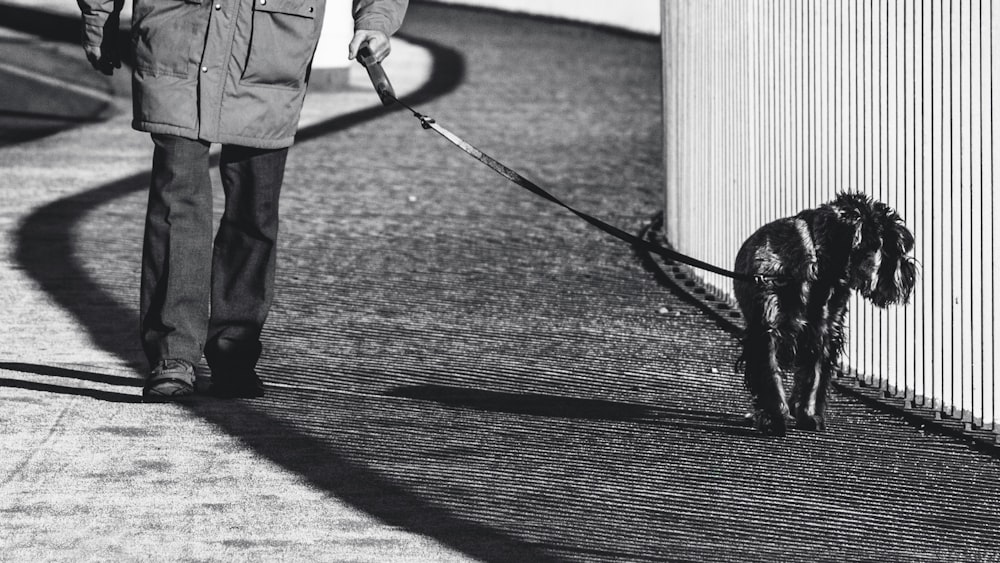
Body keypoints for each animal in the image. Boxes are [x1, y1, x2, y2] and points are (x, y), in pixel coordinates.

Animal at [732, 194, 916, 436]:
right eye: (894, 250)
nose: (910, 276)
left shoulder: (823, 332)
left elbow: (814, 377)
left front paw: (808, 415)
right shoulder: (766, 331)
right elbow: (770, 375)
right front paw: (775, 417)